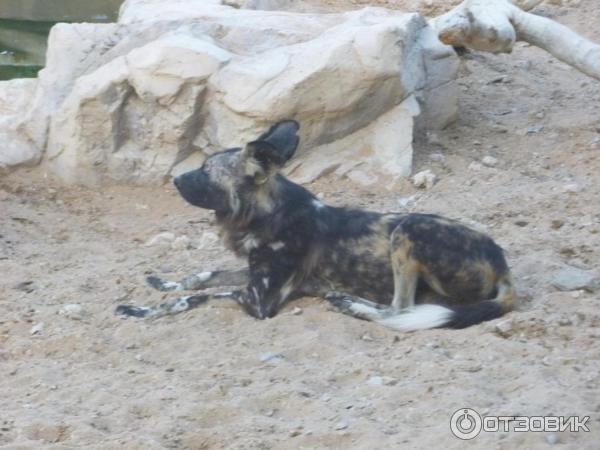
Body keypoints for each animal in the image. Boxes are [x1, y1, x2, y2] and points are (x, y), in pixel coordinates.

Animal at [116, 119, 516, 330]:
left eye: (205, 172)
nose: (175, 180)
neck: (268, 214)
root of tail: (502, 264)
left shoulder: (258, 301)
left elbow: (191, 297)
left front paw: (141, 310)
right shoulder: (251, 273)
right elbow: (203, 276)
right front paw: (162, 282)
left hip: (408, 230)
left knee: (399, 310)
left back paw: (351, 304)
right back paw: (343, 297)